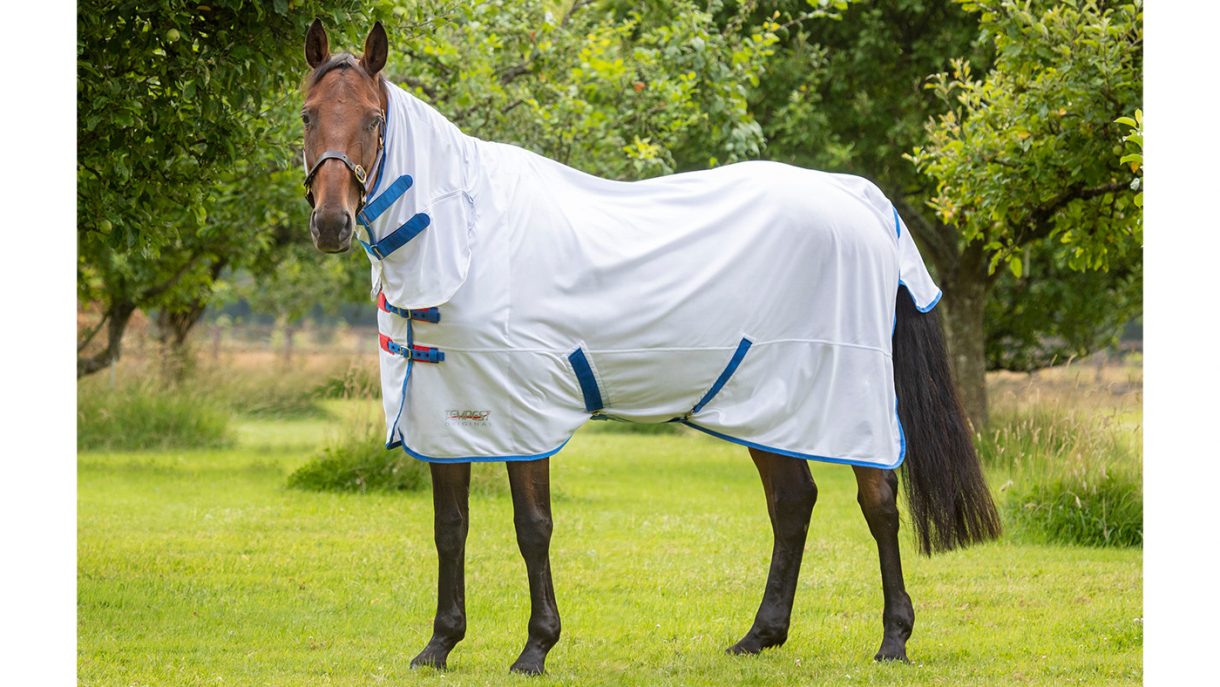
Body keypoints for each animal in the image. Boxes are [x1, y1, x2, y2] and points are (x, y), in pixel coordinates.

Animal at [299, 20, 1001, 675]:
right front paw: (439, 646)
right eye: (307, 114)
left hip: (846, 403)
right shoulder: (447, 416)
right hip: (767, 404)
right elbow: (450, 528)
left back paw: (893, 640)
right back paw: (759, 637)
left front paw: (535, 648)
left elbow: (533, 528)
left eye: (373, 119)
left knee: (878, 503)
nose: (332, 224)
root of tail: (859, 198)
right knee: (792, 502)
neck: (467, 234)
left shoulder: (522, 414)